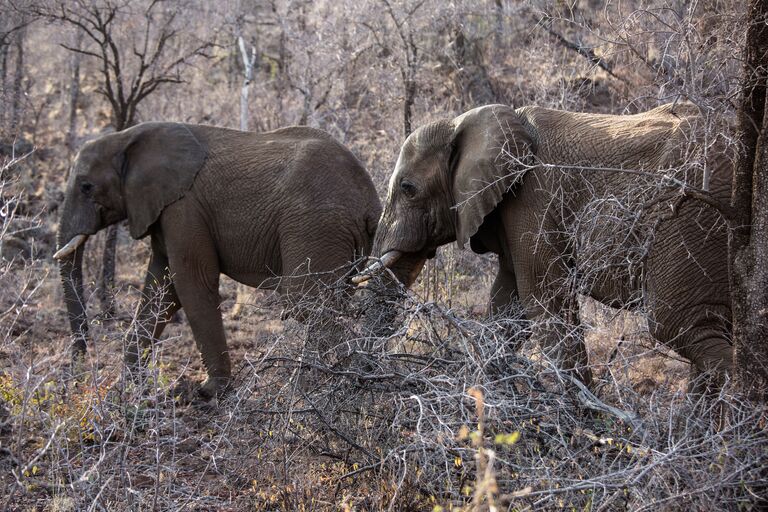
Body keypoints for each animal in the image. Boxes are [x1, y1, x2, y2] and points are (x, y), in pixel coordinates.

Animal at [54, 122, 380, 398]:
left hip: (315, 226)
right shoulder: (164, 210)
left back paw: (313, 388)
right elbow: (160, 287)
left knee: (306, 305)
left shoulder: (184, 207)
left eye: (86, 186)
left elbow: (191, 283)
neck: (127, 137)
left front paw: (209, 392)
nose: (78, 376)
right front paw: (128, 390)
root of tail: (371, 201)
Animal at [356, 101, 736, 388]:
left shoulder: (532, 199)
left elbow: (544, 298)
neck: (465, 122)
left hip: (688, 217)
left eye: (408, 188)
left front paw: (586, 422)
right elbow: (507, 307)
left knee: (680, 325)